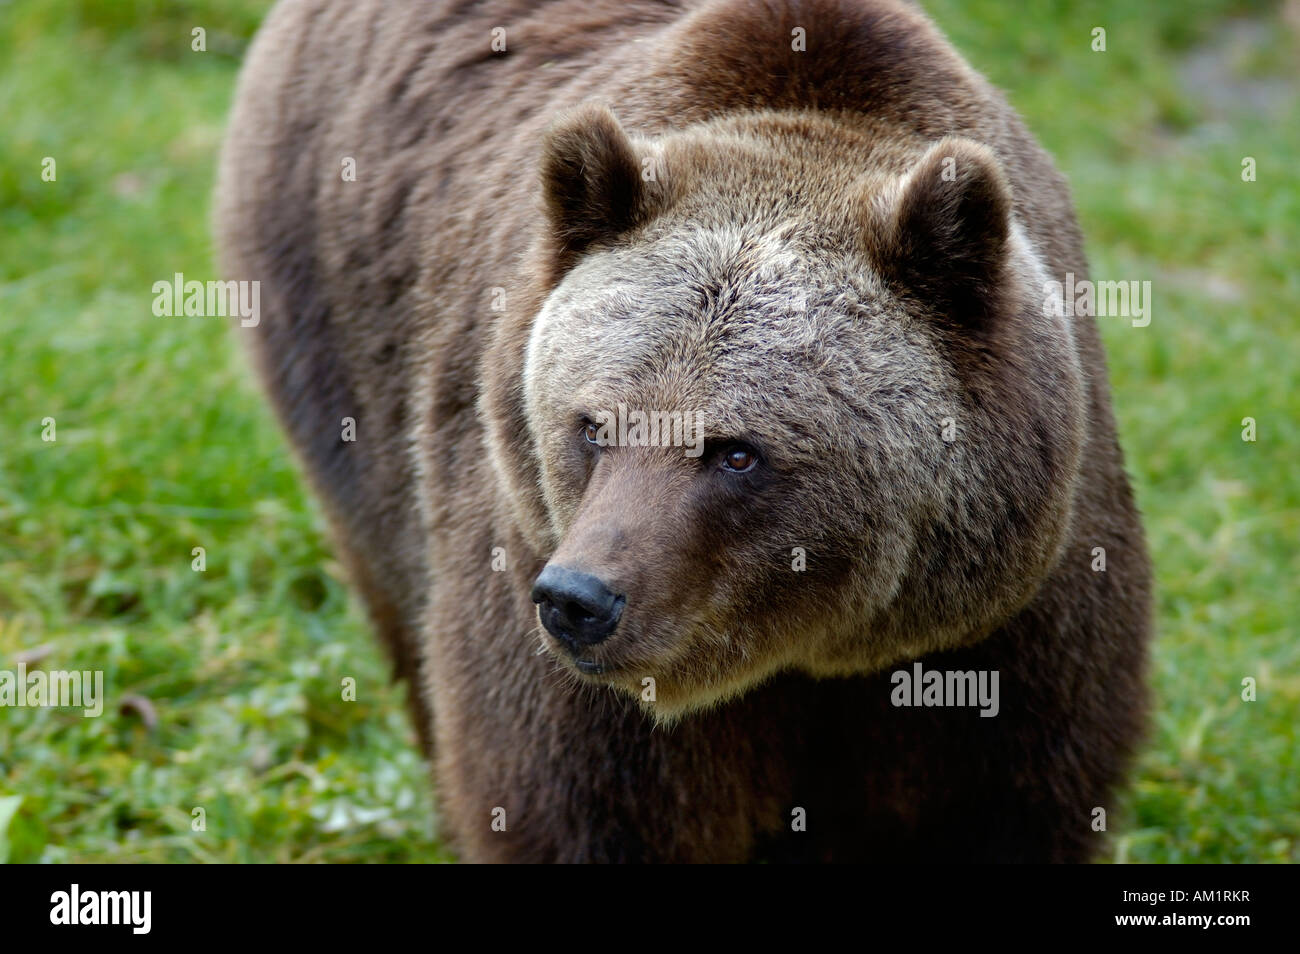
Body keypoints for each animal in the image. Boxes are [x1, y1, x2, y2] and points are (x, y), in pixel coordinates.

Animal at [215, 0, 1159, 868]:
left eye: (736, 451)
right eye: (593, 424)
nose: (579, 600)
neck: (815, 655)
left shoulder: (1008, 638)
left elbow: (998, 808)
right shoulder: (555, 627)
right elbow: (576, 808)